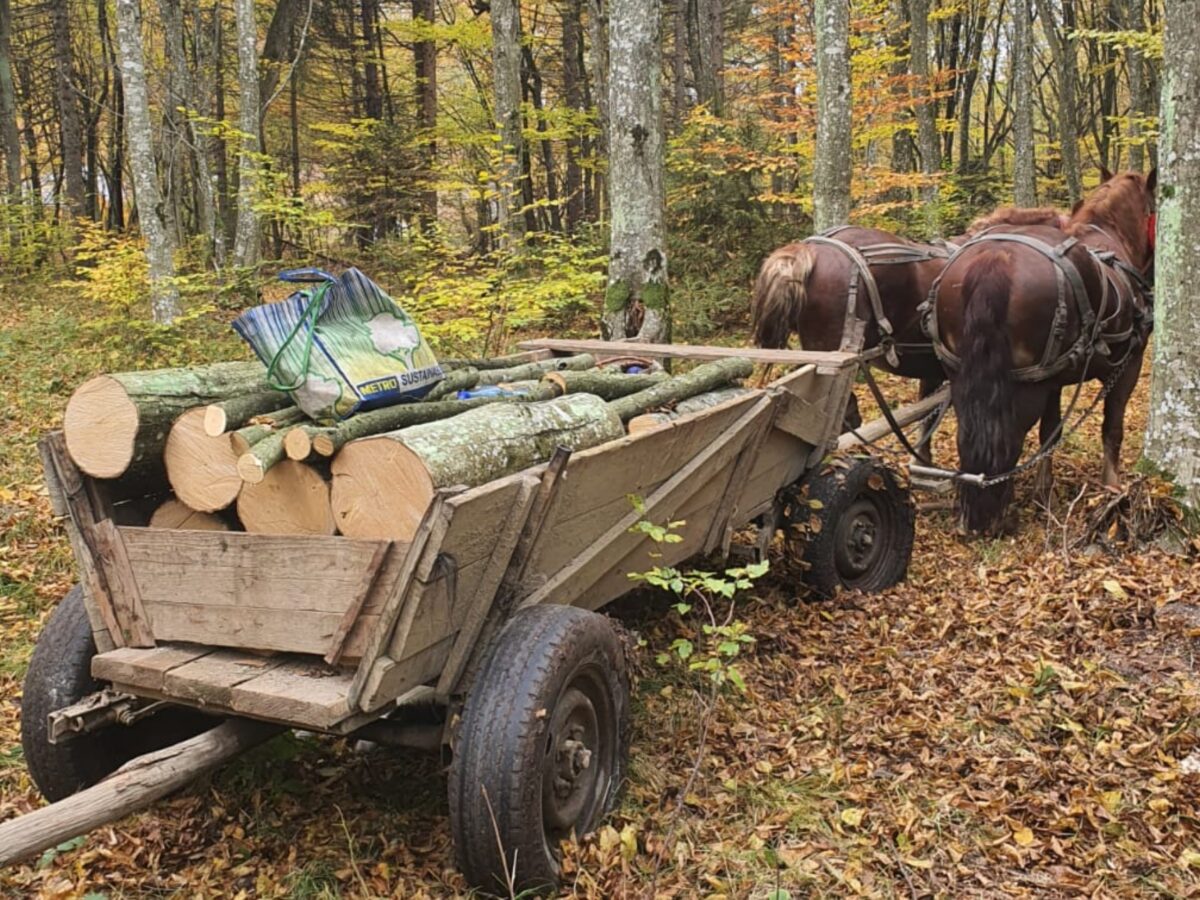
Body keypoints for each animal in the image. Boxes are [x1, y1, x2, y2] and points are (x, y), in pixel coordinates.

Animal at [926, 172, 1152, 532]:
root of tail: (995, 260)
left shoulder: (1055, 378)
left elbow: (1050, 433)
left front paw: (1043, 492)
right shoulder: (1129, 364)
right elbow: (1111, 428)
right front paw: (1111, 489)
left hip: (964, 374)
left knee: (972, 433)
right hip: (1025, 387)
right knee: (1007, 439)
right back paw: (995, 511)